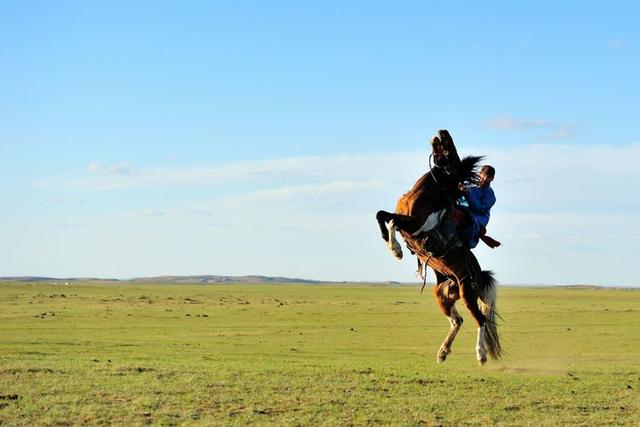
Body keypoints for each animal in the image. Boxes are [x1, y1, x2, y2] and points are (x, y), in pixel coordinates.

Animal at [376, 130, 504, 364]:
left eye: (452, 152)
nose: (442, 132)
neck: (423, 195)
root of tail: (480, 275)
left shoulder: (416, 226)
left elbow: (391, 221)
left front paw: (396, 250)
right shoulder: (404, 219)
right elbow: (382, 215)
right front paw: (390, 245)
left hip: (467, 293)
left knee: (480, 320)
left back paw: (480, 355)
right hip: (442, 294)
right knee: (457, 321)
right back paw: (443, 352)